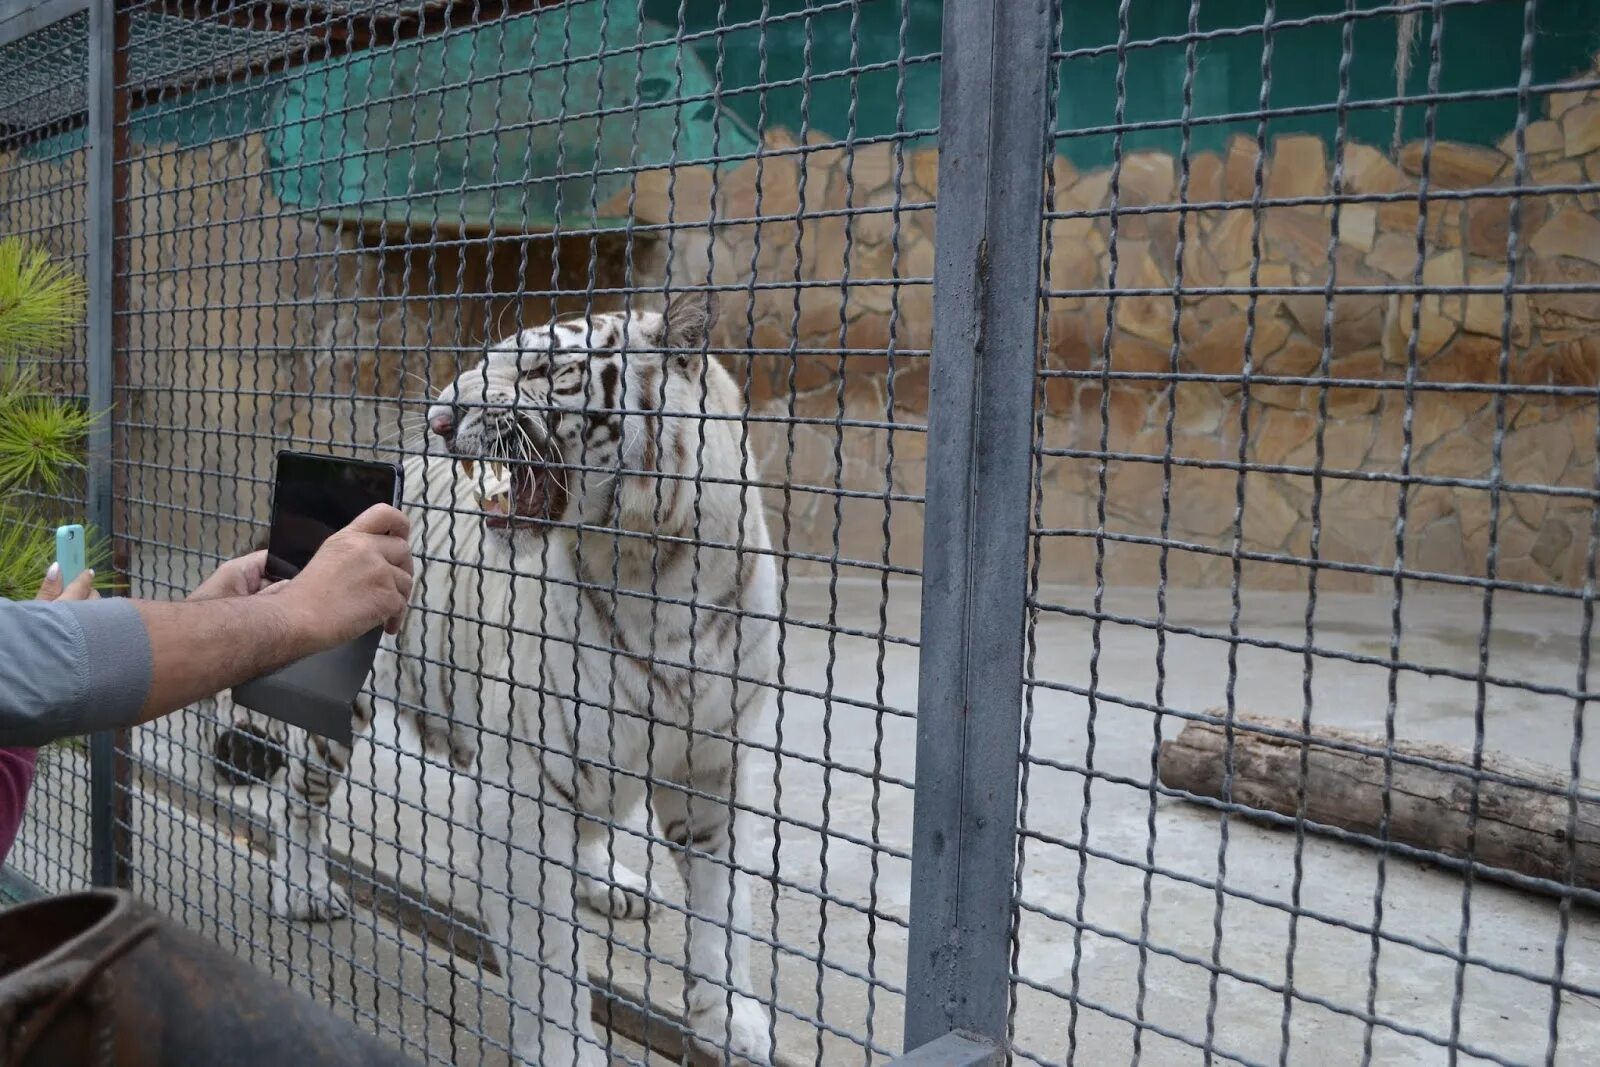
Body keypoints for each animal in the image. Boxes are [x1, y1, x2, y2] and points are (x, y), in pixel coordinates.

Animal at [270, 294, 780, 1067]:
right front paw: (568, 1048)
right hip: (342, 711)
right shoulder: (523, 786)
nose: (437, 420)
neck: (657, 576)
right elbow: (549, 954)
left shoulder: (715, 766)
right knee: (296, 794)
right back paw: (302, 889)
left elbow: (728, 909)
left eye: (541, 369)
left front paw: (731, 1020)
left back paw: (606, 881)